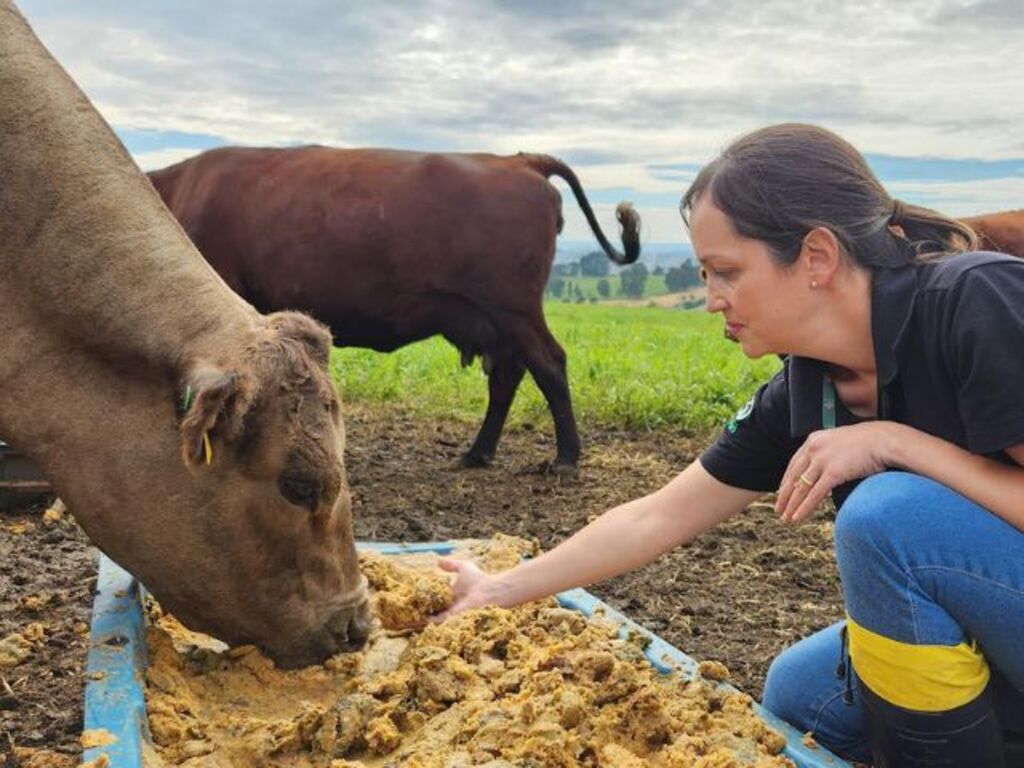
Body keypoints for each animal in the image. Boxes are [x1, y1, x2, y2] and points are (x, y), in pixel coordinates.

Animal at [149, 144, 638, 473]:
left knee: (549, 365)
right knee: (508, 376)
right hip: (495, 321)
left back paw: (566, 458)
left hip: (514, 310)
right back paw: (477, 453)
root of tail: (518, 160)